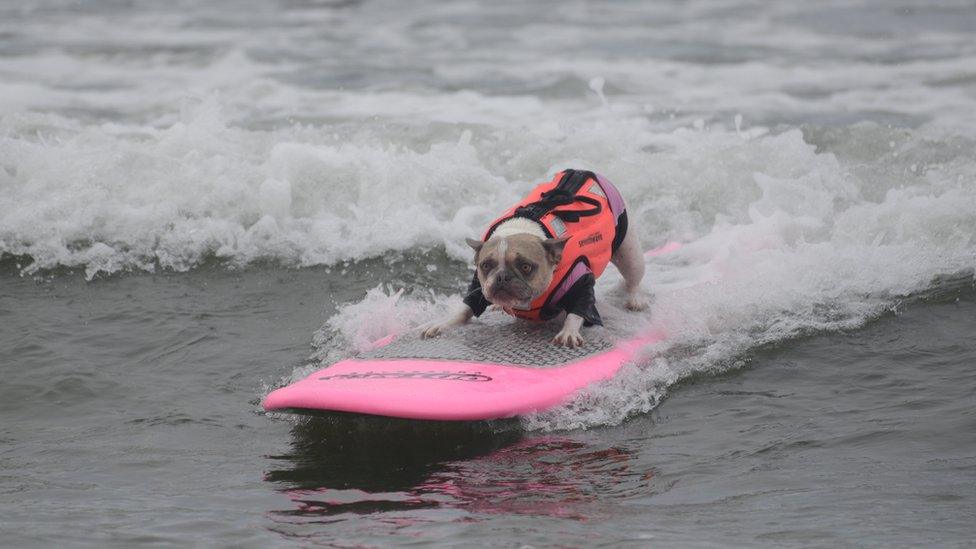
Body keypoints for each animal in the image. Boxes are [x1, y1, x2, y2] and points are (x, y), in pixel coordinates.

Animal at [420, 168, 648, 346]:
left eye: (526, 267)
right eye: (485, 266)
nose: (502, 277)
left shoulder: (581, 281)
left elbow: (579, 310)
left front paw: (569, 331)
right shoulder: (477, 286)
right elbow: (466, 307)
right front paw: (442, 323)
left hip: (629, 253)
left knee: (633, 277)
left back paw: (635, 298)